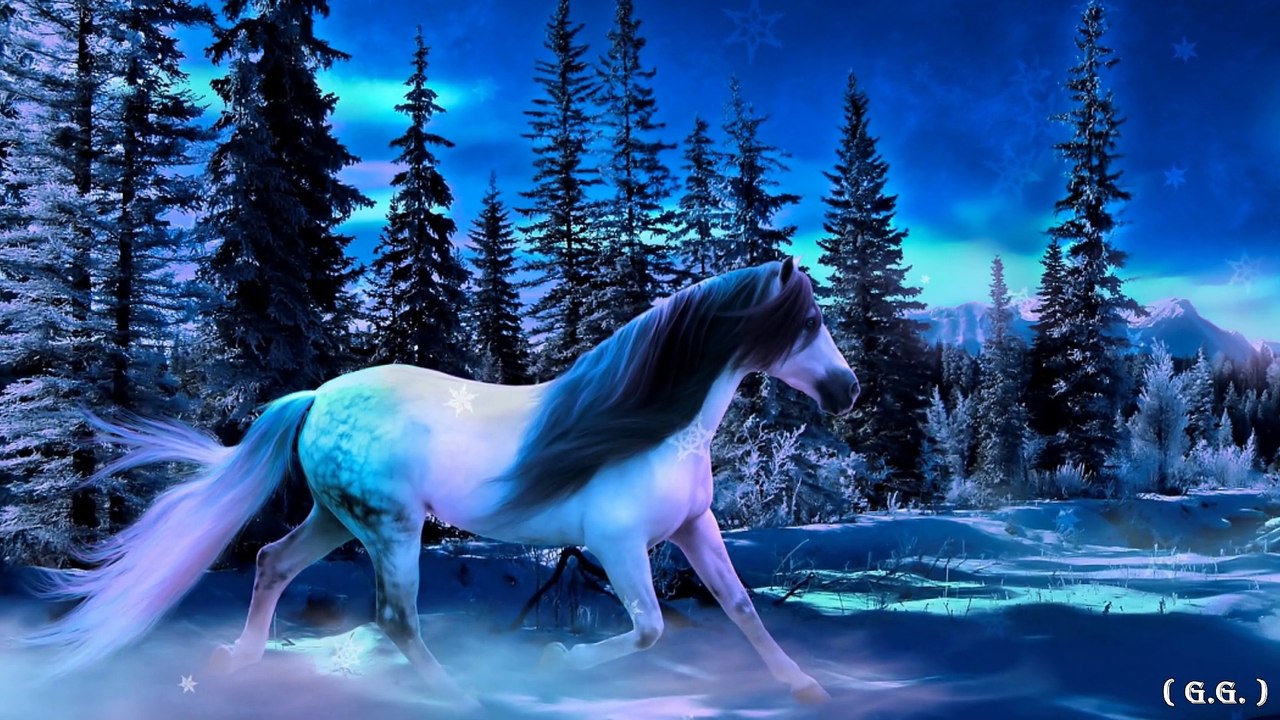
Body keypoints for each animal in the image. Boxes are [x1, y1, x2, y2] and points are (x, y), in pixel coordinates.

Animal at [25, 257, 859, 709]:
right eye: (807, 322)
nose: (848, 391)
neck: (653, 430)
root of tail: (318, 396)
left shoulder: (695, 529)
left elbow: (742, 608)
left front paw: (805, 687)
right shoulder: (619, 546)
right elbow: (650, 629)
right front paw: (557, 664)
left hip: (338, 518)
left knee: (271, 563)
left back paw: (241, 660)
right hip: (390, 527)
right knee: (395, 617)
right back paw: (459, 695)